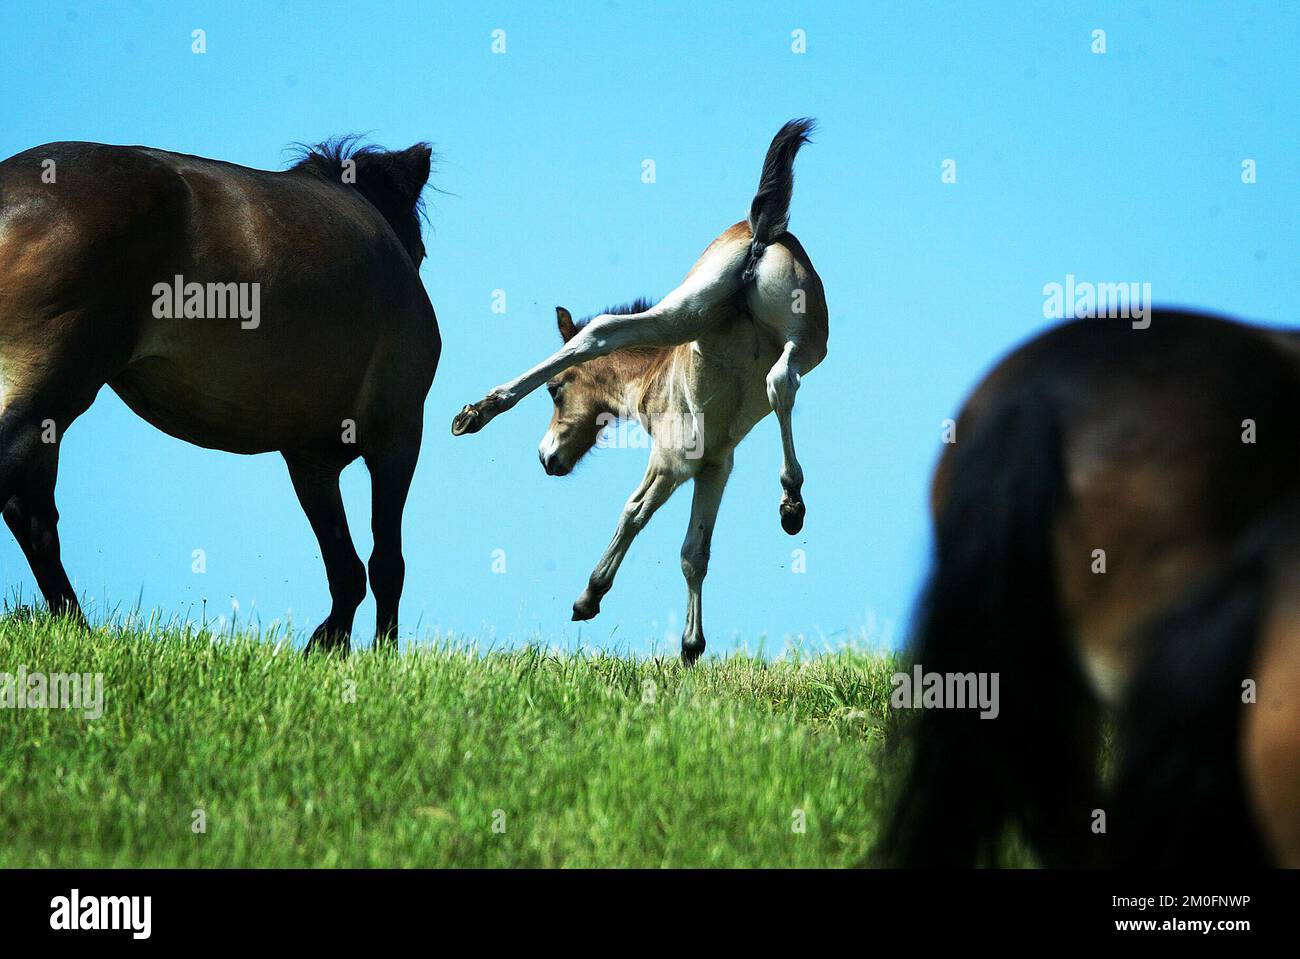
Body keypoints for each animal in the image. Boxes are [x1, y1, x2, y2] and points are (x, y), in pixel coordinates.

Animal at [0, 136, 441, 649]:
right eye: (421, 250)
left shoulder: (310, 461)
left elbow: (345, 568)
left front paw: (329, 646)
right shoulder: (398, 434)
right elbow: (386, 564)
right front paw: (382, 653)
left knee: (34, 518)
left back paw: (78, 626)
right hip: (50, 391)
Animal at [452, 117, 826, 657]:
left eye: (556, 392)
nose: (548, 458)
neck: (653, 381)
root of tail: (758, 230)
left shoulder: (690, 463)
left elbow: (655, 525)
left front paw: (600, 600)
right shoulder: (703, 464)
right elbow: (683, 543)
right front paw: (683, 640)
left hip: (766, 330)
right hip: (716, 316)